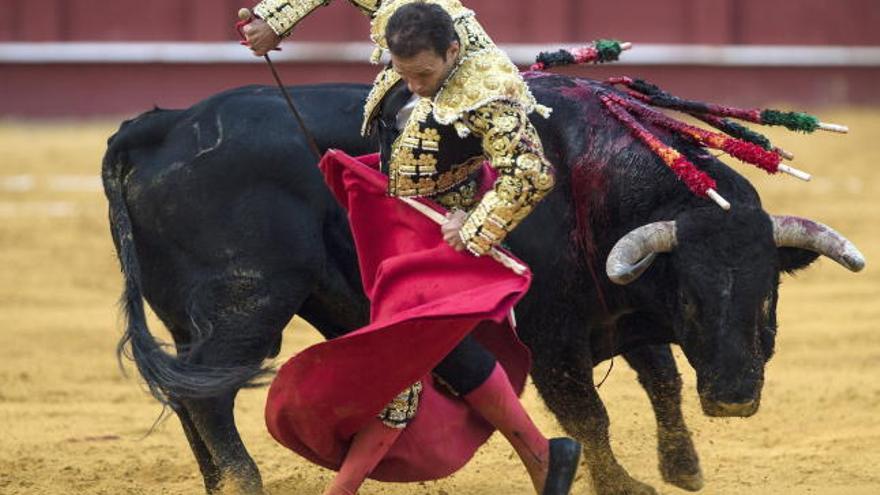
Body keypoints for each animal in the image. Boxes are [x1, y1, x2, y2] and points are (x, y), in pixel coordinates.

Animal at [105, 73, 868, 495]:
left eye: (769, 293)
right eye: (691, 297)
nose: (736, 398)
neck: (593, 180)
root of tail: (164, 124)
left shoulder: (616, 310)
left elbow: (662, 379)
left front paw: (683, 468)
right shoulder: (552, 334)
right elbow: (588, 413)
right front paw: (623, 484)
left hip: (191, 317)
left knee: (187, 391)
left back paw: (218, 483)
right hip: (245, 304)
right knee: (209, 392)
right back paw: (243, 483)